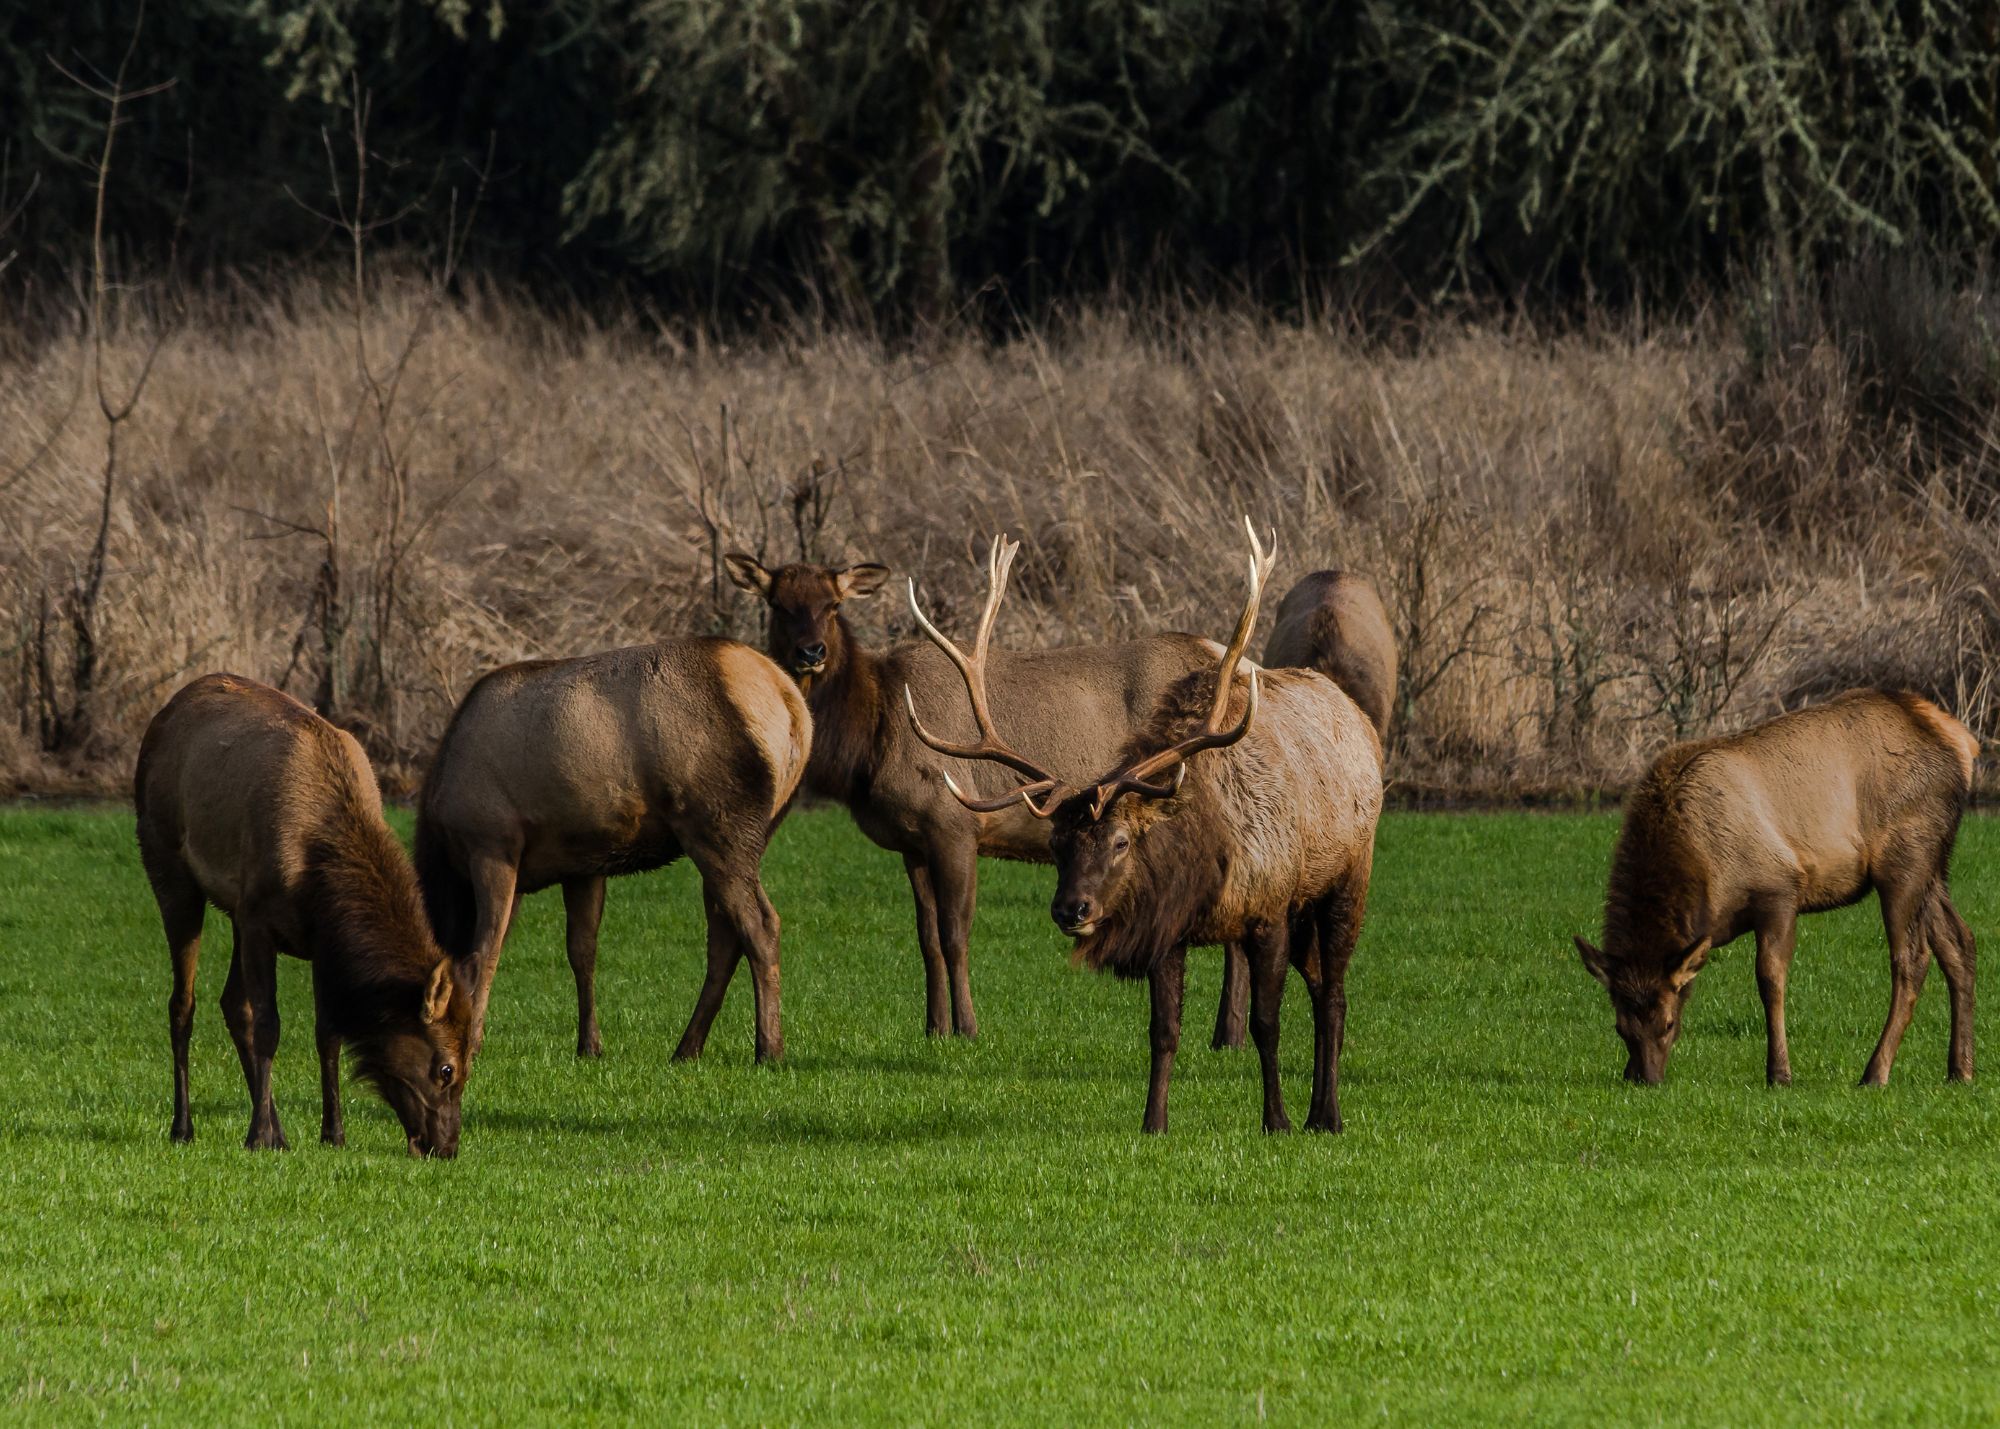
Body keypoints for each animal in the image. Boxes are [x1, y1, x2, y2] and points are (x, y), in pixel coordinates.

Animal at [135, 674, 476, 1157]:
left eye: (469, 1062)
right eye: (446, 1069)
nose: (446, 1147)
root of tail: (164, 714)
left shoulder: (317, 939)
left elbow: (326, 1033)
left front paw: (332, 1132)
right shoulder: (260, 919)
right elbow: (269, 1026)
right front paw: (257, 1136)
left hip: (235, 911)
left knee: (231, 1002)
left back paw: (277, 1128)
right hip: (168, 866)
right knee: (184, 1002)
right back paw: (184, 1126)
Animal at [414, 638, 810, 1065]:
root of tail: (791, 705)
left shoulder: (492, 844)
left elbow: (483, 952)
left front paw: (473, 1044)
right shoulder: (581, 866)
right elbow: (581, 952)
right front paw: (590, 1045)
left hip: (719, 824)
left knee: (761, 924)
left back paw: (769, 1049)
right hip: (749, 831)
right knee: (724, 937)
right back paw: (688, 1047)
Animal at [725, 549, 1253, 1048]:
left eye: (833, 605)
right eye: (777, 604)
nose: (810, 651)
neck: (870, 740)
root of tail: (1245, 669)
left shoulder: (953, 823)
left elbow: (955, 935)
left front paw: (968, 1028)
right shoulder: (912, 844)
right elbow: (926, 939)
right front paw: (934, 1027)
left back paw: (1229, 1035)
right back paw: (1228, 1034)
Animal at [905, 521, 1384, 1133]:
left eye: (1121, 841)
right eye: (1057, 845)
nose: (1071, 909)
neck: (1207, 864)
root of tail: (1358, 718)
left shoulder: (1270, 907)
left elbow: (1265, 1024)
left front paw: (1275, 1120)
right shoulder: (1167, 928)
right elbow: (1163, 1031)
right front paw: (1153, 1122)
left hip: (1347, 877)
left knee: (1334, 995)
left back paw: (1326, 1114)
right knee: (1321, 978)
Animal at [1575, 688, 1979, 1087]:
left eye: (1669, 1023)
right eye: (1620, 1028)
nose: (1646, 1079)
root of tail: (1962, 743)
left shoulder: (1780, 889)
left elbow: (1770, 980)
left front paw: (1779, 1073)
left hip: (1904, 859)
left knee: (1913, 958)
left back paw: (1875, 1072)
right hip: (1934, 867)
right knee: (1959, 942)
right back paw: (1961, 1069)